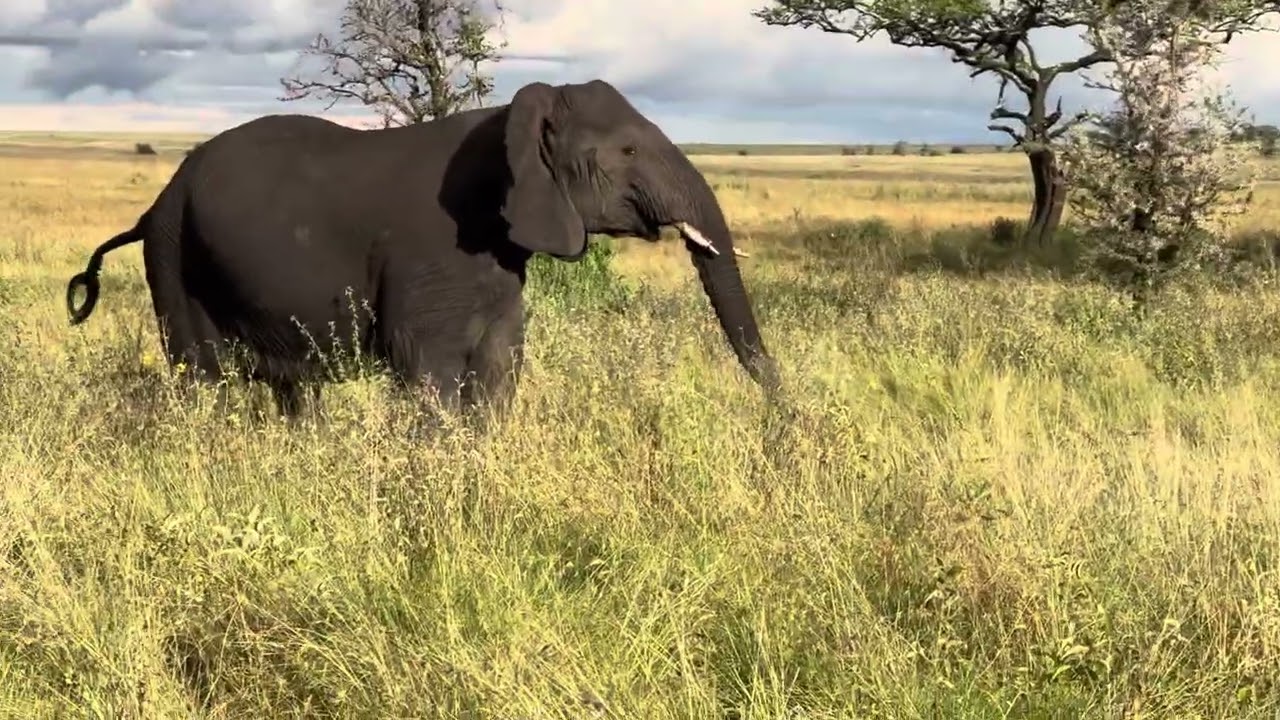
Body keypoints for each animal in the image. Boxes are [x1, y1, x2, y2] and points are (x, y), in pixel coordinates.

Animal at [65, 78, 781, 421]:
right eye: (628, 150)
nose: (786, 420)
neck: (507, 123)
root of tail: (153, 205)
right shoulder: (430, 252)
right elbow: (428, 370)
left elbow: (499, 367)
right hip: (174, 256)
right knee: (202, 380)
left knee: (293, 390)